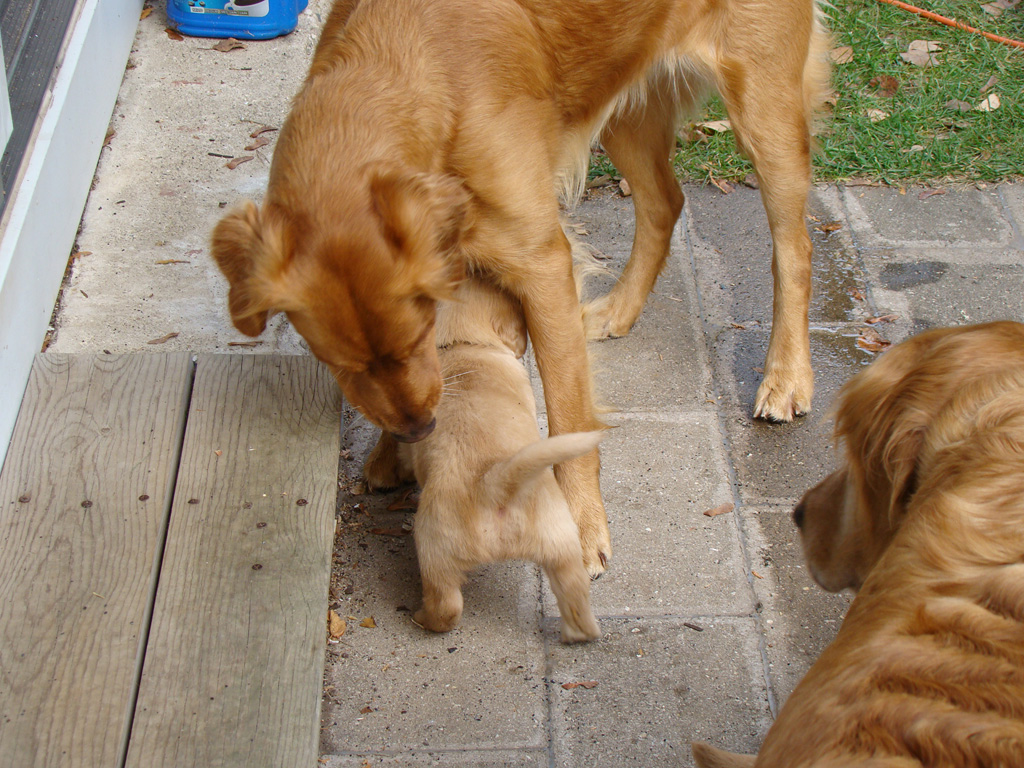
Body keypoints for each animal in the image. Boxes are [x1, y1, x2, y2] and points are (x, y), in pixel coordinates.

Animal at [364, 276, 598, 643]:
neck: (464, 344)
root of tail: (495, 484)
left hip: (433, 546)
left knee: (446, 607)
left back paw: (419, 618)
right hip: (561, 545)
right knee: (576, 603)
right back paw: (579, 634)